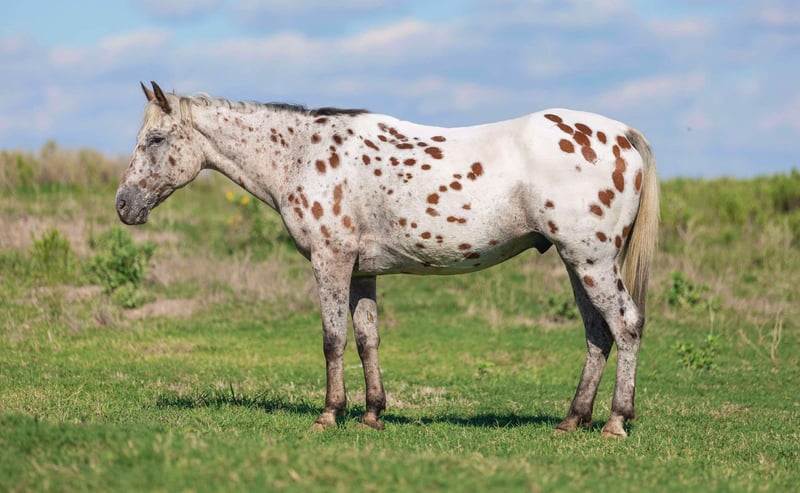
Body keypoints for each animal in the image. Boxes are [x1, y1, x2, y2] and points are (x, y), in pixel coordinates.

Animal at [117, 81, 659, 438]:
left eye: (155, 140)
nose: (124, 205)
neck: (302, 155)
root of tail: (622, 134)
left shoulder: (330, 262)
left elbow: (333, 340)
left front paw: (330, 413)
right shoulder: (361, 272)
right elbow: (366, 340)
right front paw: (372, 413)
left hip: (591, 261)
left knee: (626, 326)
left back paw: (615, 421)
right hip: (576, 263)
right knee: (597, 332)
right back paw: (572, 419)